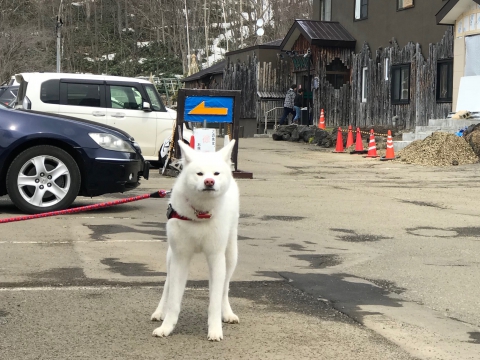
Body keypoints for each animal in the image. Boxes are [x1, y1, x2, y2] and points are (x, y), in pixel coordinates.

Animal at [151, 139, 239, 342]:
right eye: (199, 173)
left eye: (216, 173)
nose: (209, 181)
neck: (200, 213)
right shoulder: (180, 257)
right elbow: (173, 299)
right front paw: (167, 327)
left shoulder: (216, 257)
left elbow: (215, 300)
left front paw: (215, 329)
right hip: (171, 257)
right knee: (167, 285)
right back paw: (160, 311)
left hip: (230, 255)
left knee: (224, 288)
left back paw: (227, 313)